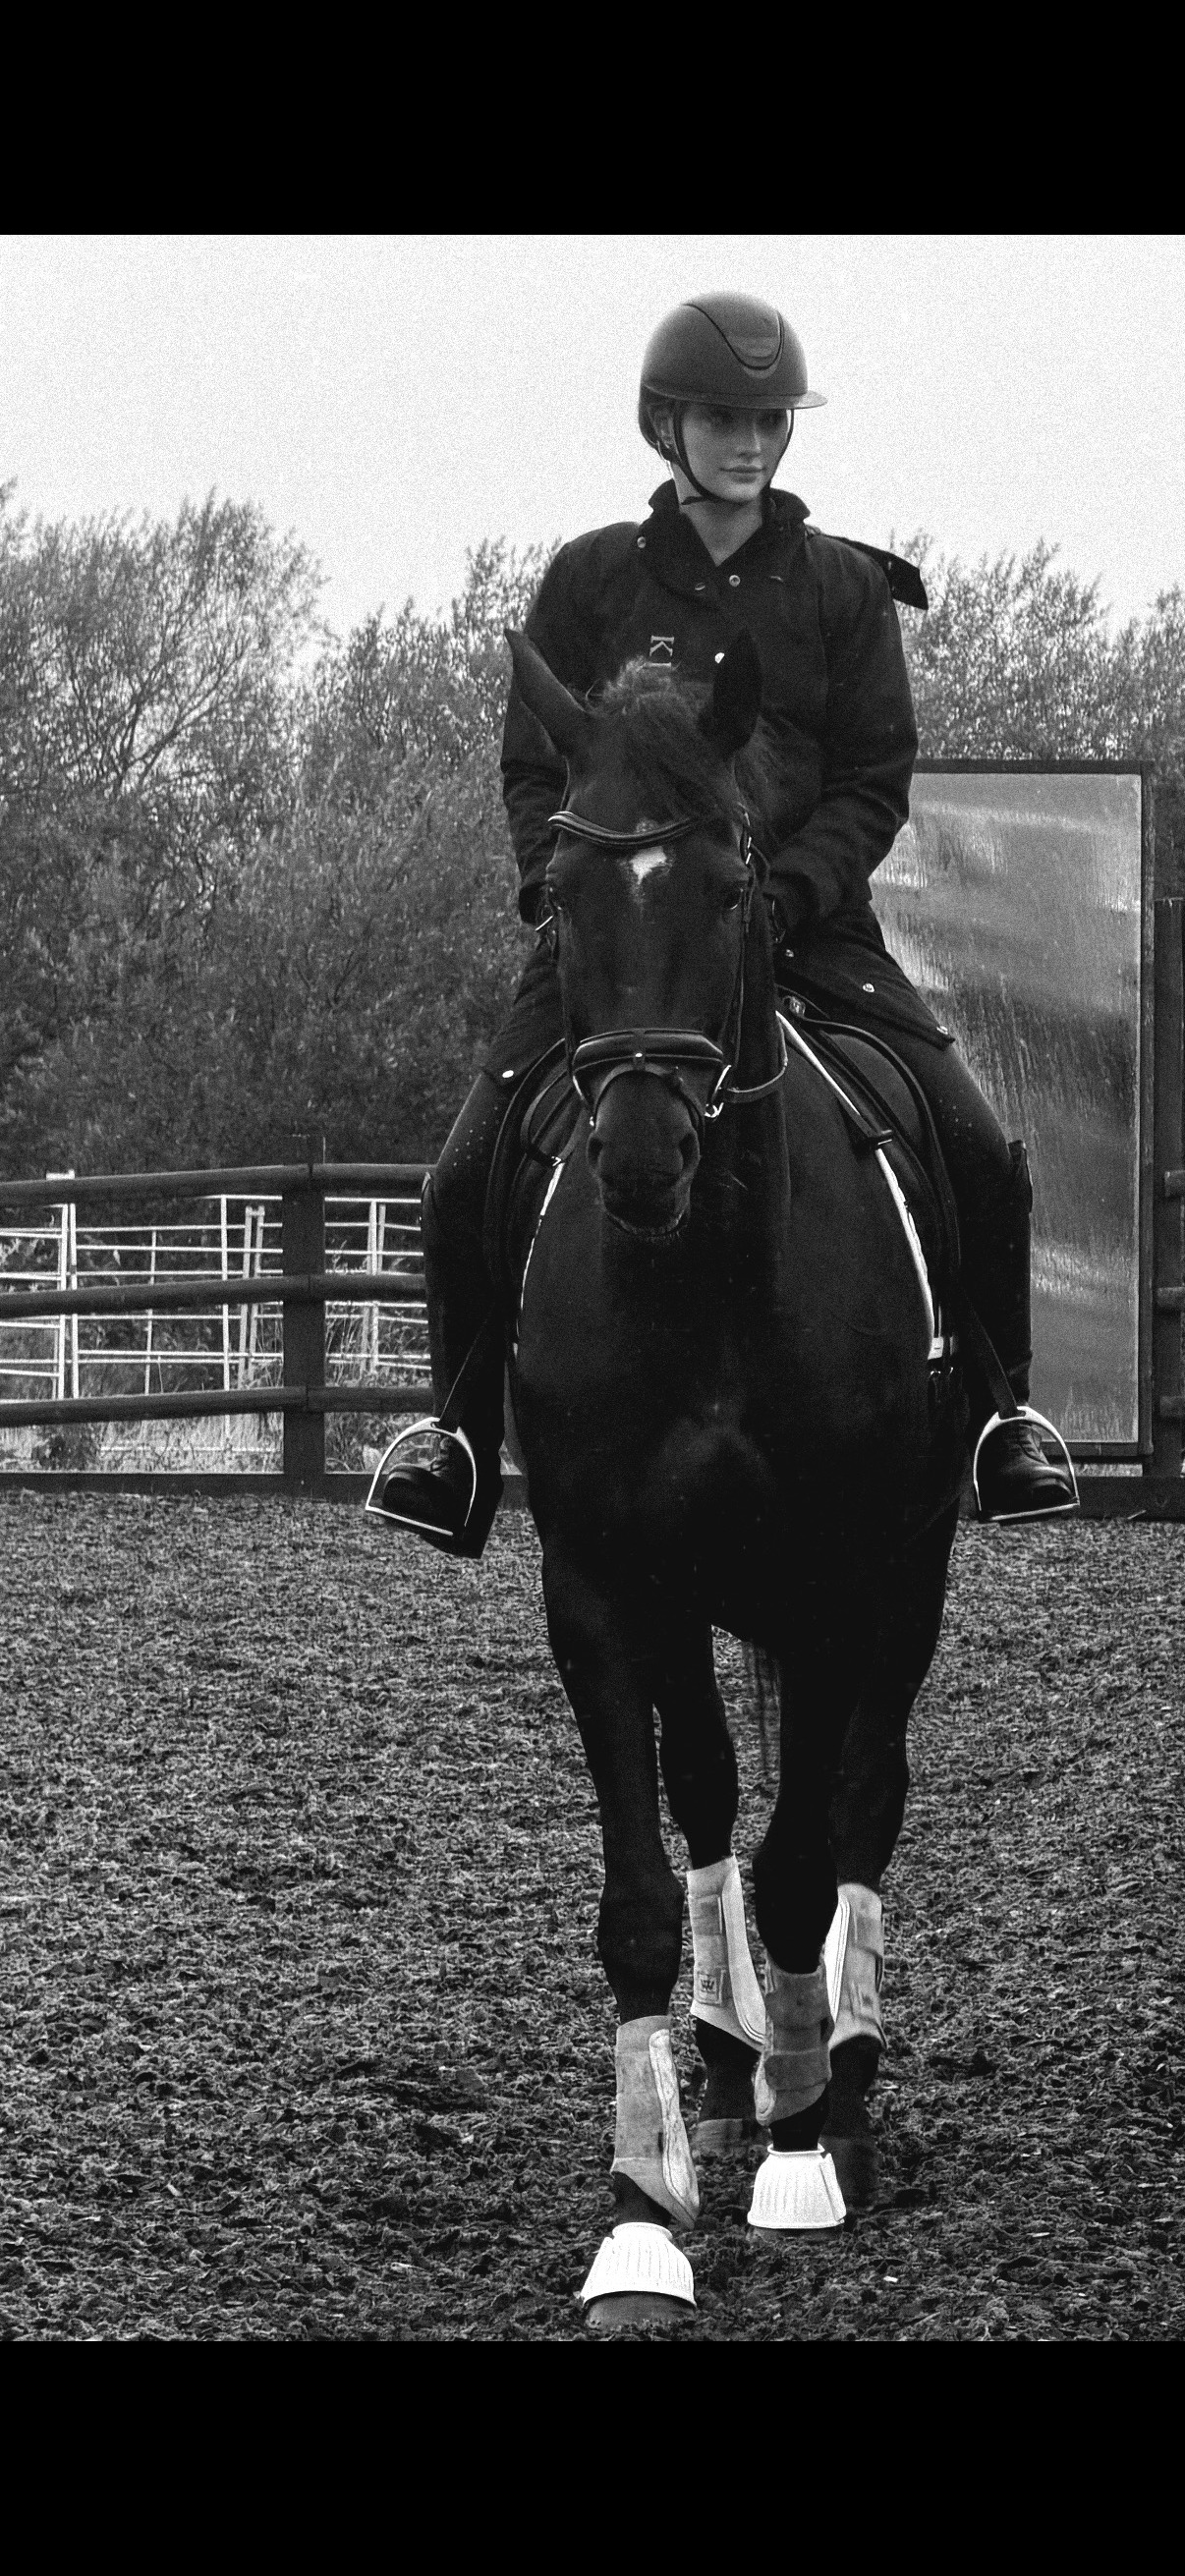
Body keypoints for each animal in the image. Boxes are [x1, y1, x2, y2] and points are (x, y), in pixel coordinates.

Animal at [496, 628, 965, 2329]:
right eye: (560, 893)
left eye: (729, 884)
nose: (639, 1154)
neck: (703, 1278)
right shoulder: (602, 1585)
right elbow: (649, 1880)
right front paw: (643, 2206)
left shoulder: (837, 1580)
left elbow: (804, 1862)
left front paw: (801, 2149)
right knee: (710, 1791)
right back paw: (726, 2056)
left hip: (905, 1571)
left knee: (861, 1800)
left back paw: (834, 2073)